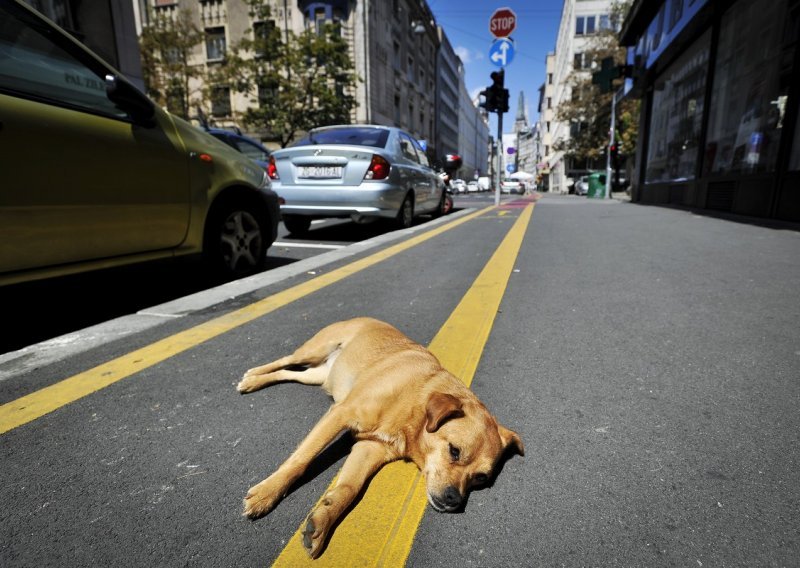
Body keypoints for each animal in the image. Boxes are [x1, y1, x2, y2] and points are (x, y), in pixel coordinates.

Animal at [238, 318, 524, 556]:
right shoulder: (341, 413)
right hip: (315, 349)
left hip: (318, 376)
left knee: (290, 373)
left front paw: (323, 520)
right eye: (454, 451)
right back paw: (252, 376)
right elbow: (301, 460)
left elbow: (349, 488)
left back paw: (255, 381)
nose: (454, 500)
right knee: (285, 359)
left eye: (480, 478)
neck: (414, 403)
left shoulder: (370, 448)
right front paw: (267, 494)